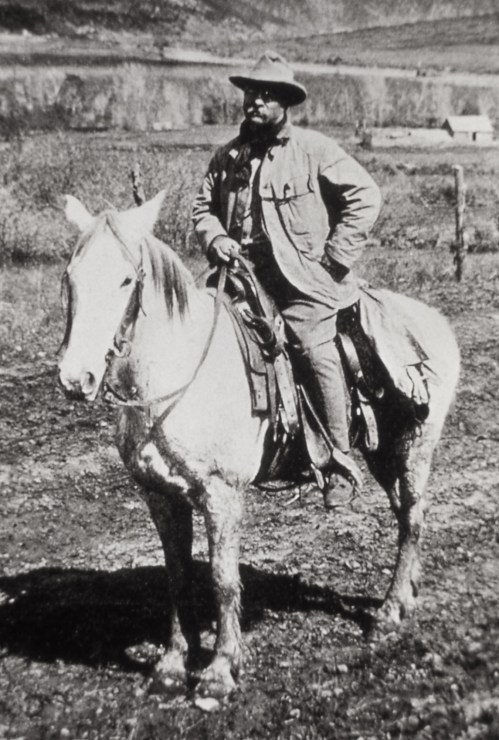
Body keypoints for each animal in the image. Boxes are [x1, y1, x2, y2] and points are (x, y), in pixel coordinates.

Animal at [58, 191, 460, 698]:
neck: (177, 376)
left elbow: (223, 579)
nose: (76, 379)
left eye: (126, 279)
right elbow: (176, 575)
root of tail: (434, 321)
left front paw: (220, 670)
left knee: (413, 518)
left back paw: (388, 613)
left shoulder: (222, 494)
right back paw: (405, 597)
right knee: (406, 514)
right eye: (70, 276)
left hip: (414, 448)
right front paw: (171, 664)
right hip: (382, 452)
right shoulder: (160, 495)